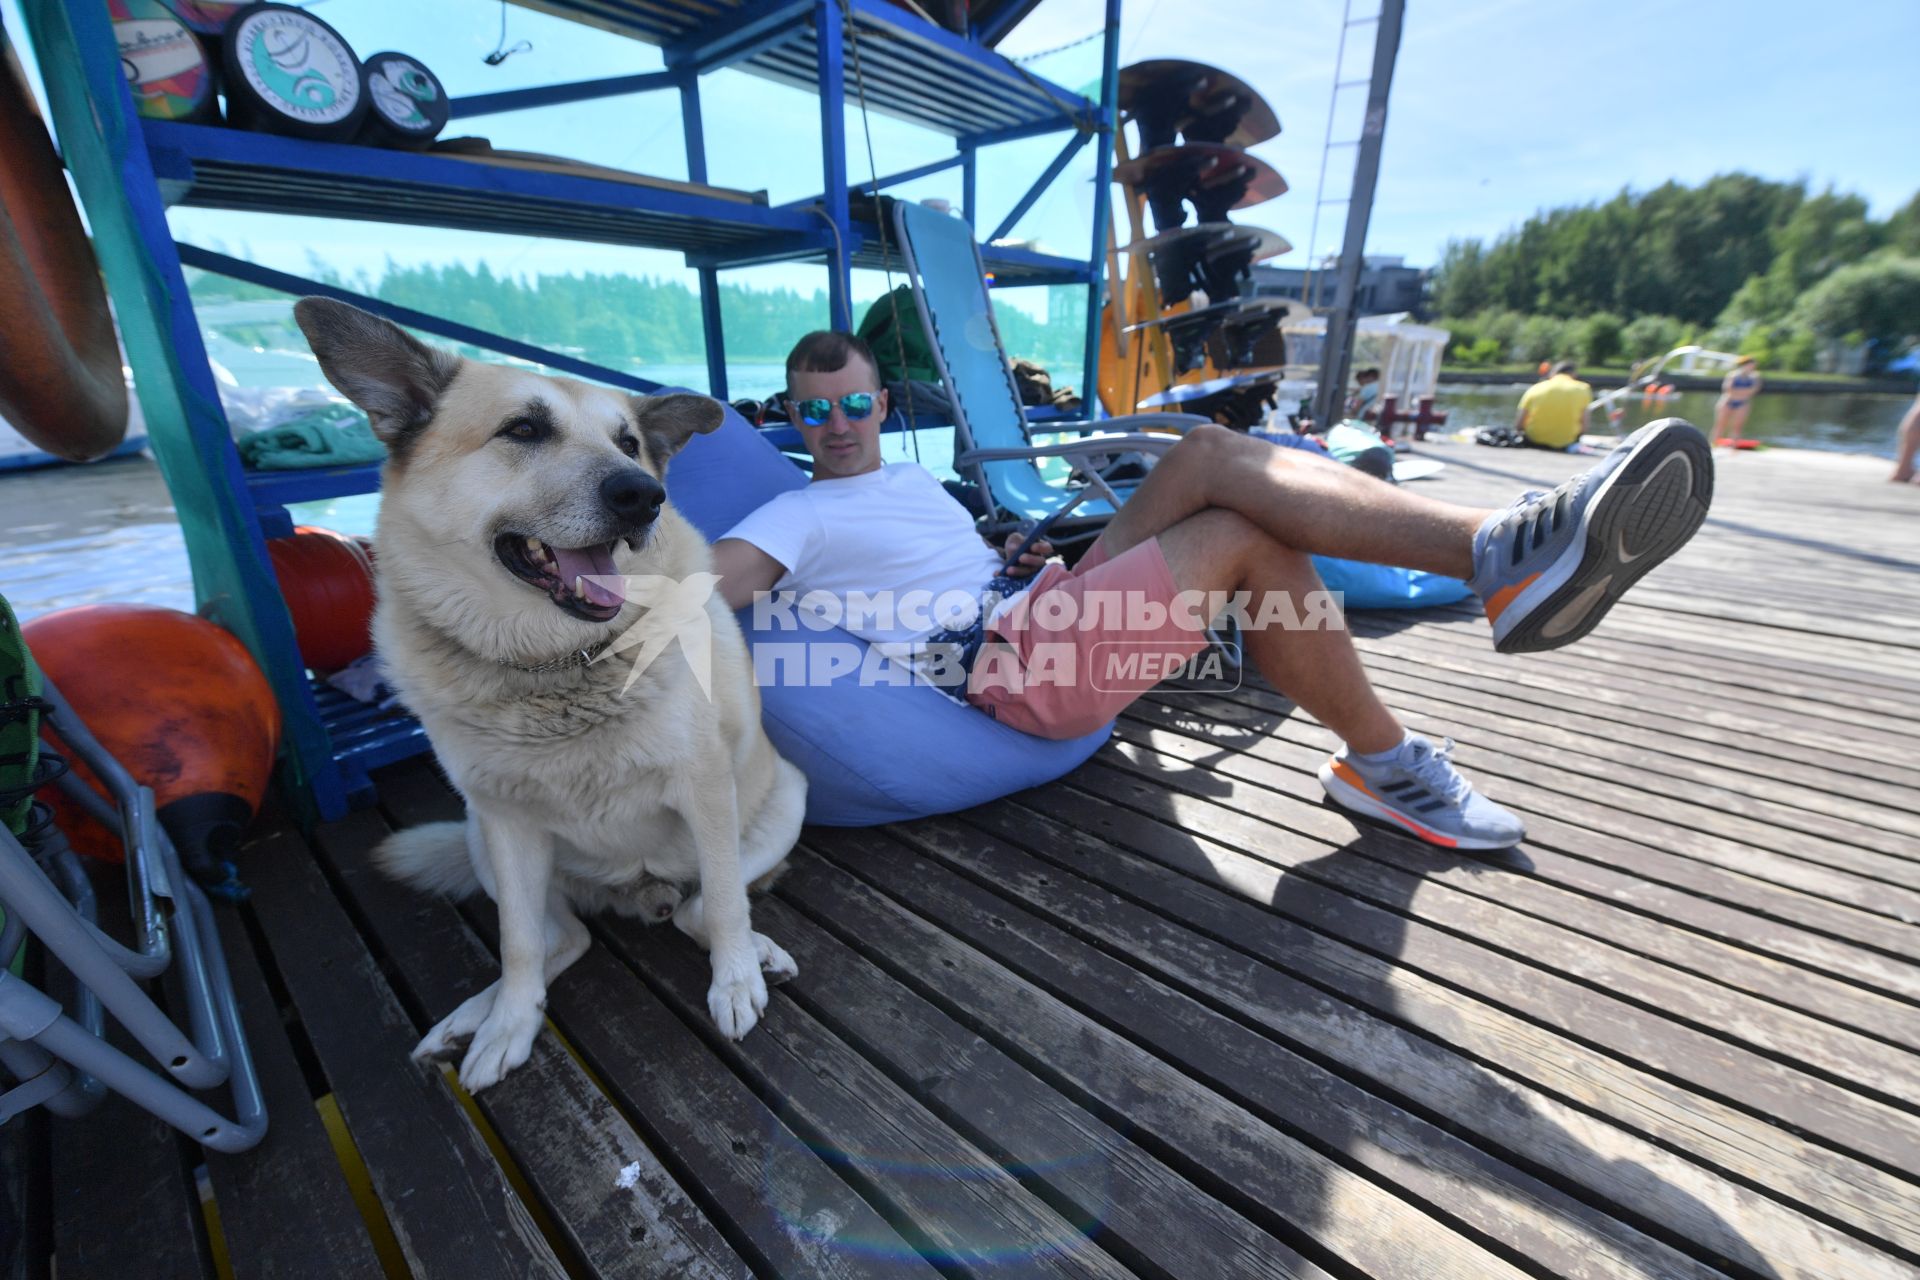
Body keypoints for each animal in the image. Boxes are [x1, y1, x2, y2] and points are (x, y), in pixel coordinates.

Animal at [295, 297, 806, 1090]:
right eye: (524, 430)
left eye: (629, 442)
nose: (644, 495)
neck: (555, 664)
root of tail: (633, 889)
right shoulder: (504, 824)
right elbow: (518, 946)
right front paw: (508, 1024)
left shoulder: (704, 788)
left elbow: (723, 905)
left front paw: (736, 978)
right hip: (482, 839)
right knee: (561, 940)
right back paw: (474, 1018)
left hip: (782, 798)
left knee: (698, 910)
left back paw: (758, 955)